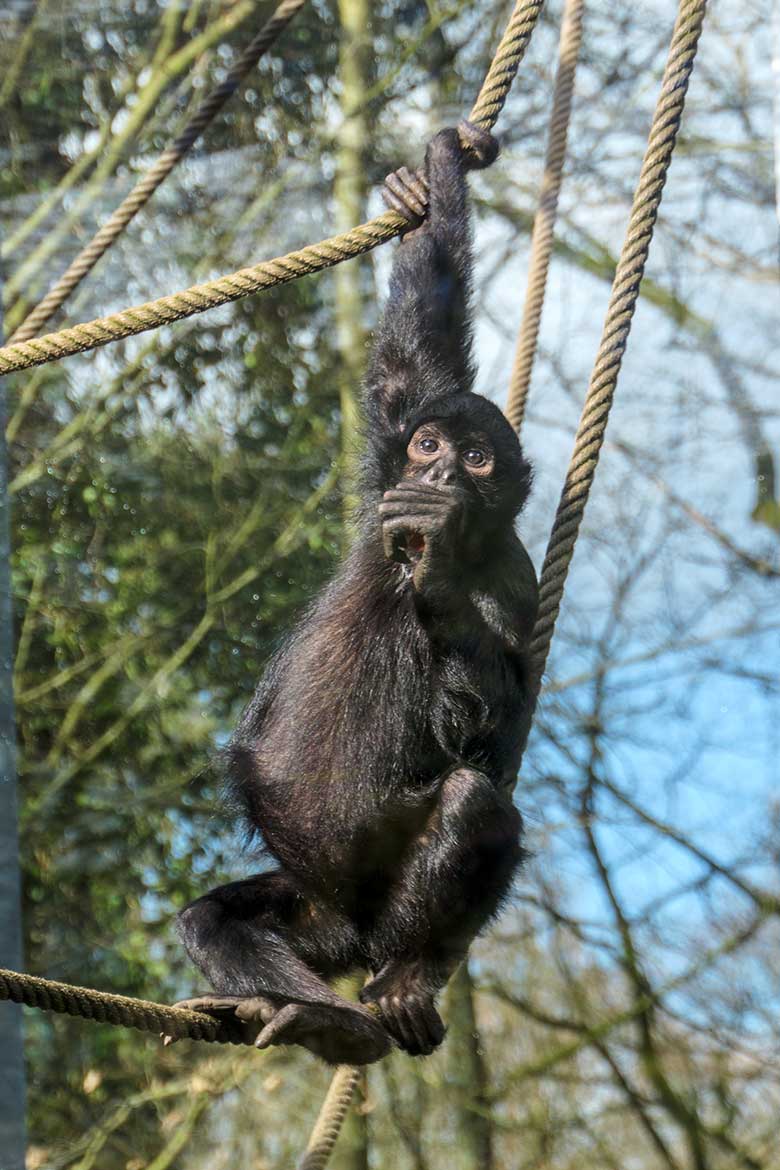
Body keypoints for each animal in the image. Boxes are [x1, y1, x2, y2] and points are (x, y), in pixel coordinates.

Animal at [170, 123, 537, 1067]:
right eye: (432, 444)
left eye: (475, 461)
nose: (439, 475)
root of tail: (353, 932)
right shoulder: (386, 455)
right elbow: (417, 347)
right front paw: (436, 175)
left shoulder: (515, 578)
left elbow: (496, 727)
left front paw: (437, 571)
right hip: (308, 905)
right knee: (212, 918)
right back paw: (316, 1015)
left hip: (381, 899)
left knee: (472, 800)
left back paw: (392, 990)